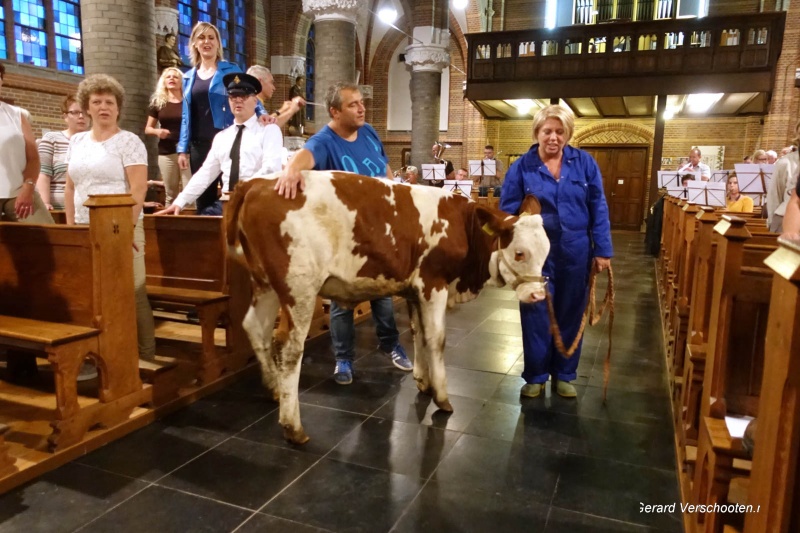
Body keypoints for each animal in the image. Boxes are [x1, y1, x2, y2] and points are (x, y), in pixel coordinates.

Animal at [225, 169, 552, 440]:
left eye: (547, 250)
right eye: (520, 253)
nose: (538, 295)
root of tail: (259, 183)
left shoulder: (413, 289)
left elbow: (419, 333)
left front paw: (423, 381)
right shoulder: (433, 283)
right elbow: (436, 339)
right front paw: (442, 397)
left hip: (265, 283)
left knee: (255, 328)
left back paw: (273, 389)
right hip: (299, 288)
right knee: (290, 348)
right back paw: (293, 426)